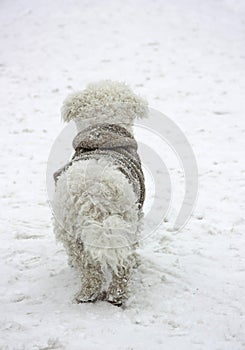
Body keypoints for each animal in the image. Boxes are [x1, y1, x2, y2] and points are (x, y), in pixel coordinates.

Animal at [52, 80, 148, 304]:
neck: (102, 129)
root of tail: (92, 194)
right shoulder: (137, 211)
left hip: (70, 230)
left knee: (88, 266)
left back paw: (87, 295)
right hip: (125, 219)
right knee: (120, 266)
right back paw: (116, 295)